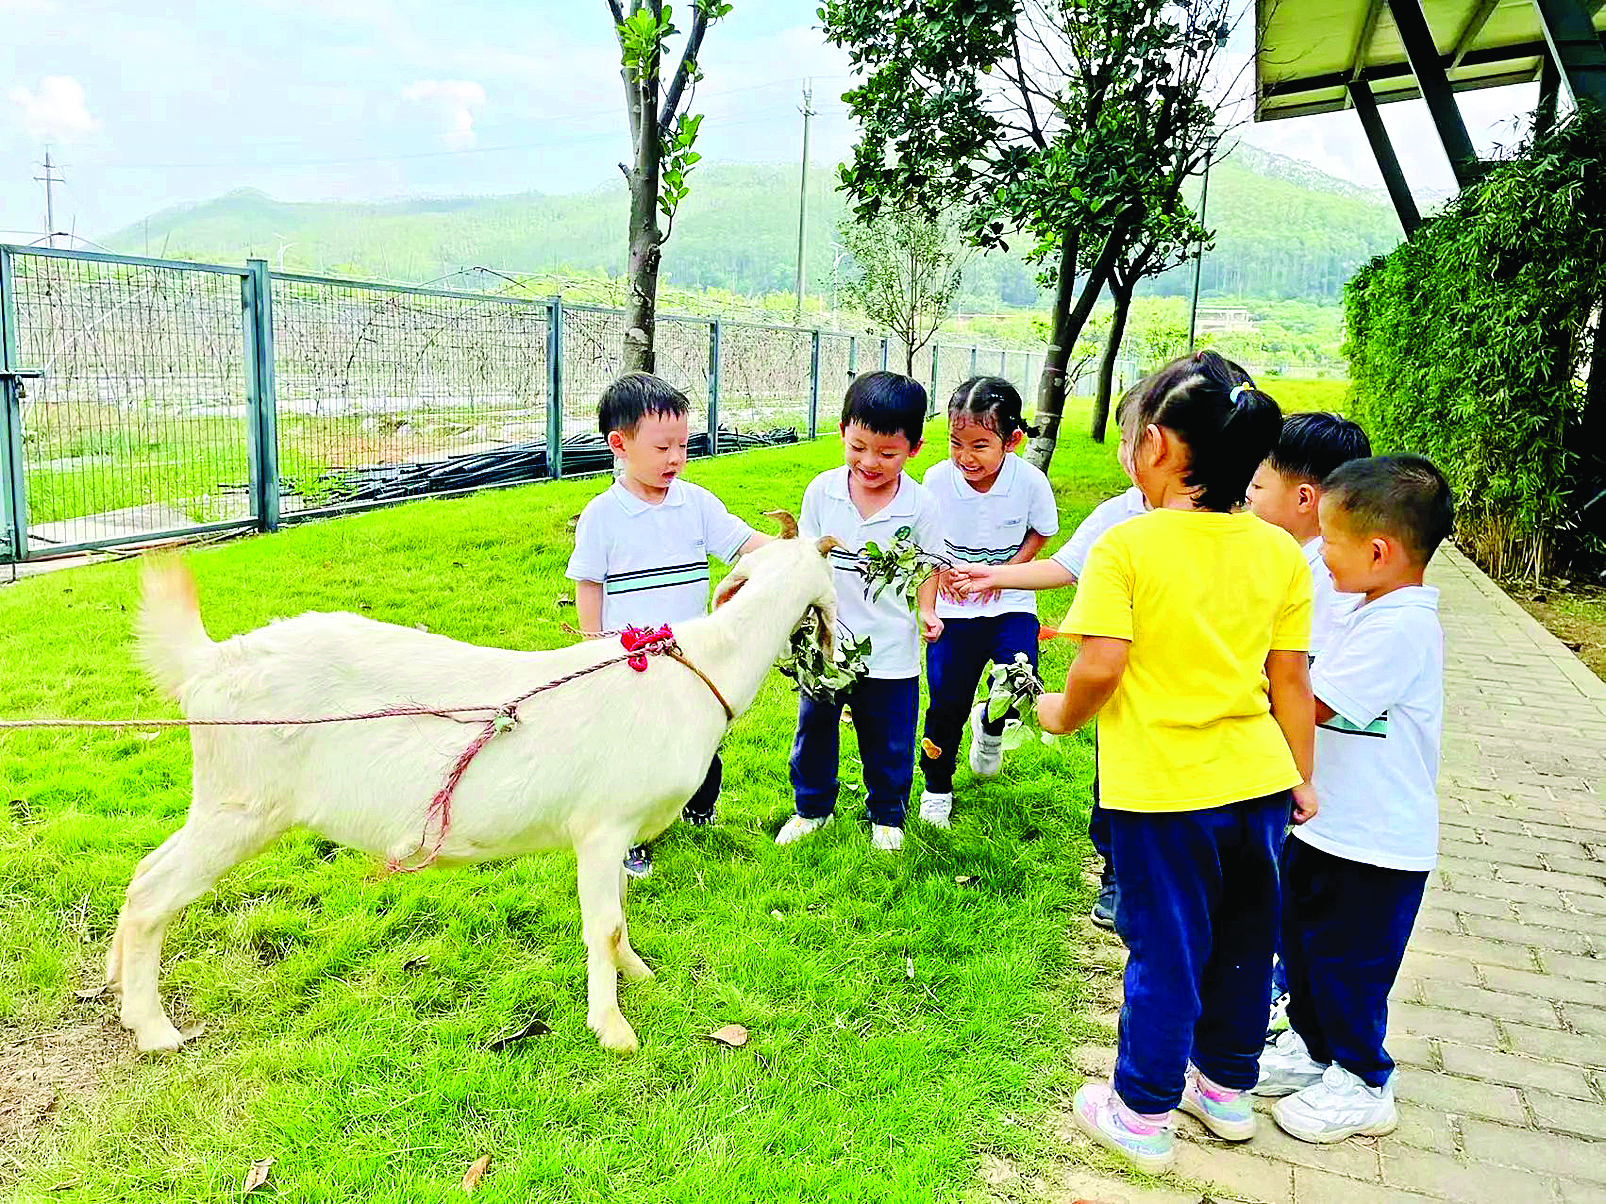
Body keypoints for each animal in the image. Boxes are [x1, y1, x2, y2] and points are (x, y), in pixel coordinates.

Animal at [108, 517, 839, 1056]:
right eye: (837, 570)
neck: (693, 669)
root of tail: (209, 664)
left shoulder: (619, 833)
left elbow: (620, 917)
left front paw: (638, 973)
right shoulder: (602, 826)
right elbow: (602, 925)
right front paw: (614, 1030)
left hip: (224, 803)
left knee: (143, 868)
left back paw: (119, 983)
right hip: (242, 805)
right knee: (152, 891)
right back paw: (154, 1030)